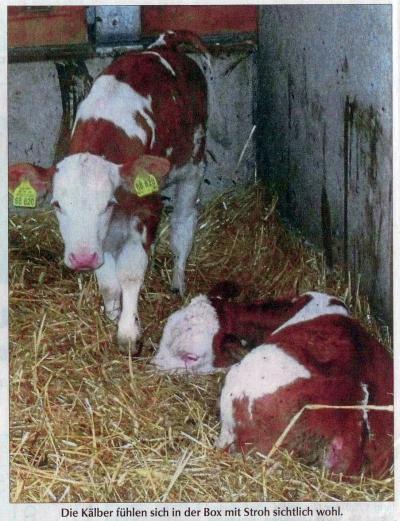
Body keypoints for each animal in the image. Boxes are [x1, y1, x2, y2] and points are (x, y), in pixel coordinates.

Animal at [9, 31, 209, 353]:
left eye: (107, 203)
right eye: (57, 204)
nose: (81, 259)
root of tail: (163, 44)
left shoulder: (146, 210)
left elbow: (130, 271)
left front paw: (128, 332)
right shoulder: (98, 239)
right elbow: (108, 279)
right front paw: (113, 312)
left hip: (193, 164)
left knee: (183, 225)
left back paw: (178, 282)